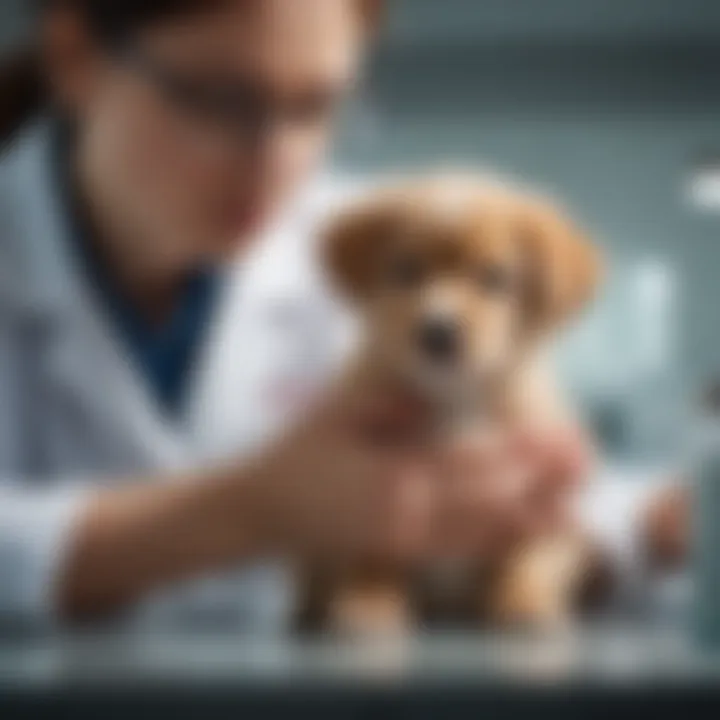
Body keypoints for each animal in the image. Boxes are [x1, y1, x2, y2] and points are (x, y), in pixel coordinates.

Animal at [300, 174, 604, 636]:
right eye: (406, 270)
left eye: (495, 278)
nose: (437, 331)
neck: (455, 399)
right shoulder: (364, 483)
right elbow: (376, 556)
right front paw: (369, 602)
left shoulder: (542, 496)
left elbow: (527, 555)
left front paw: (523, 600)